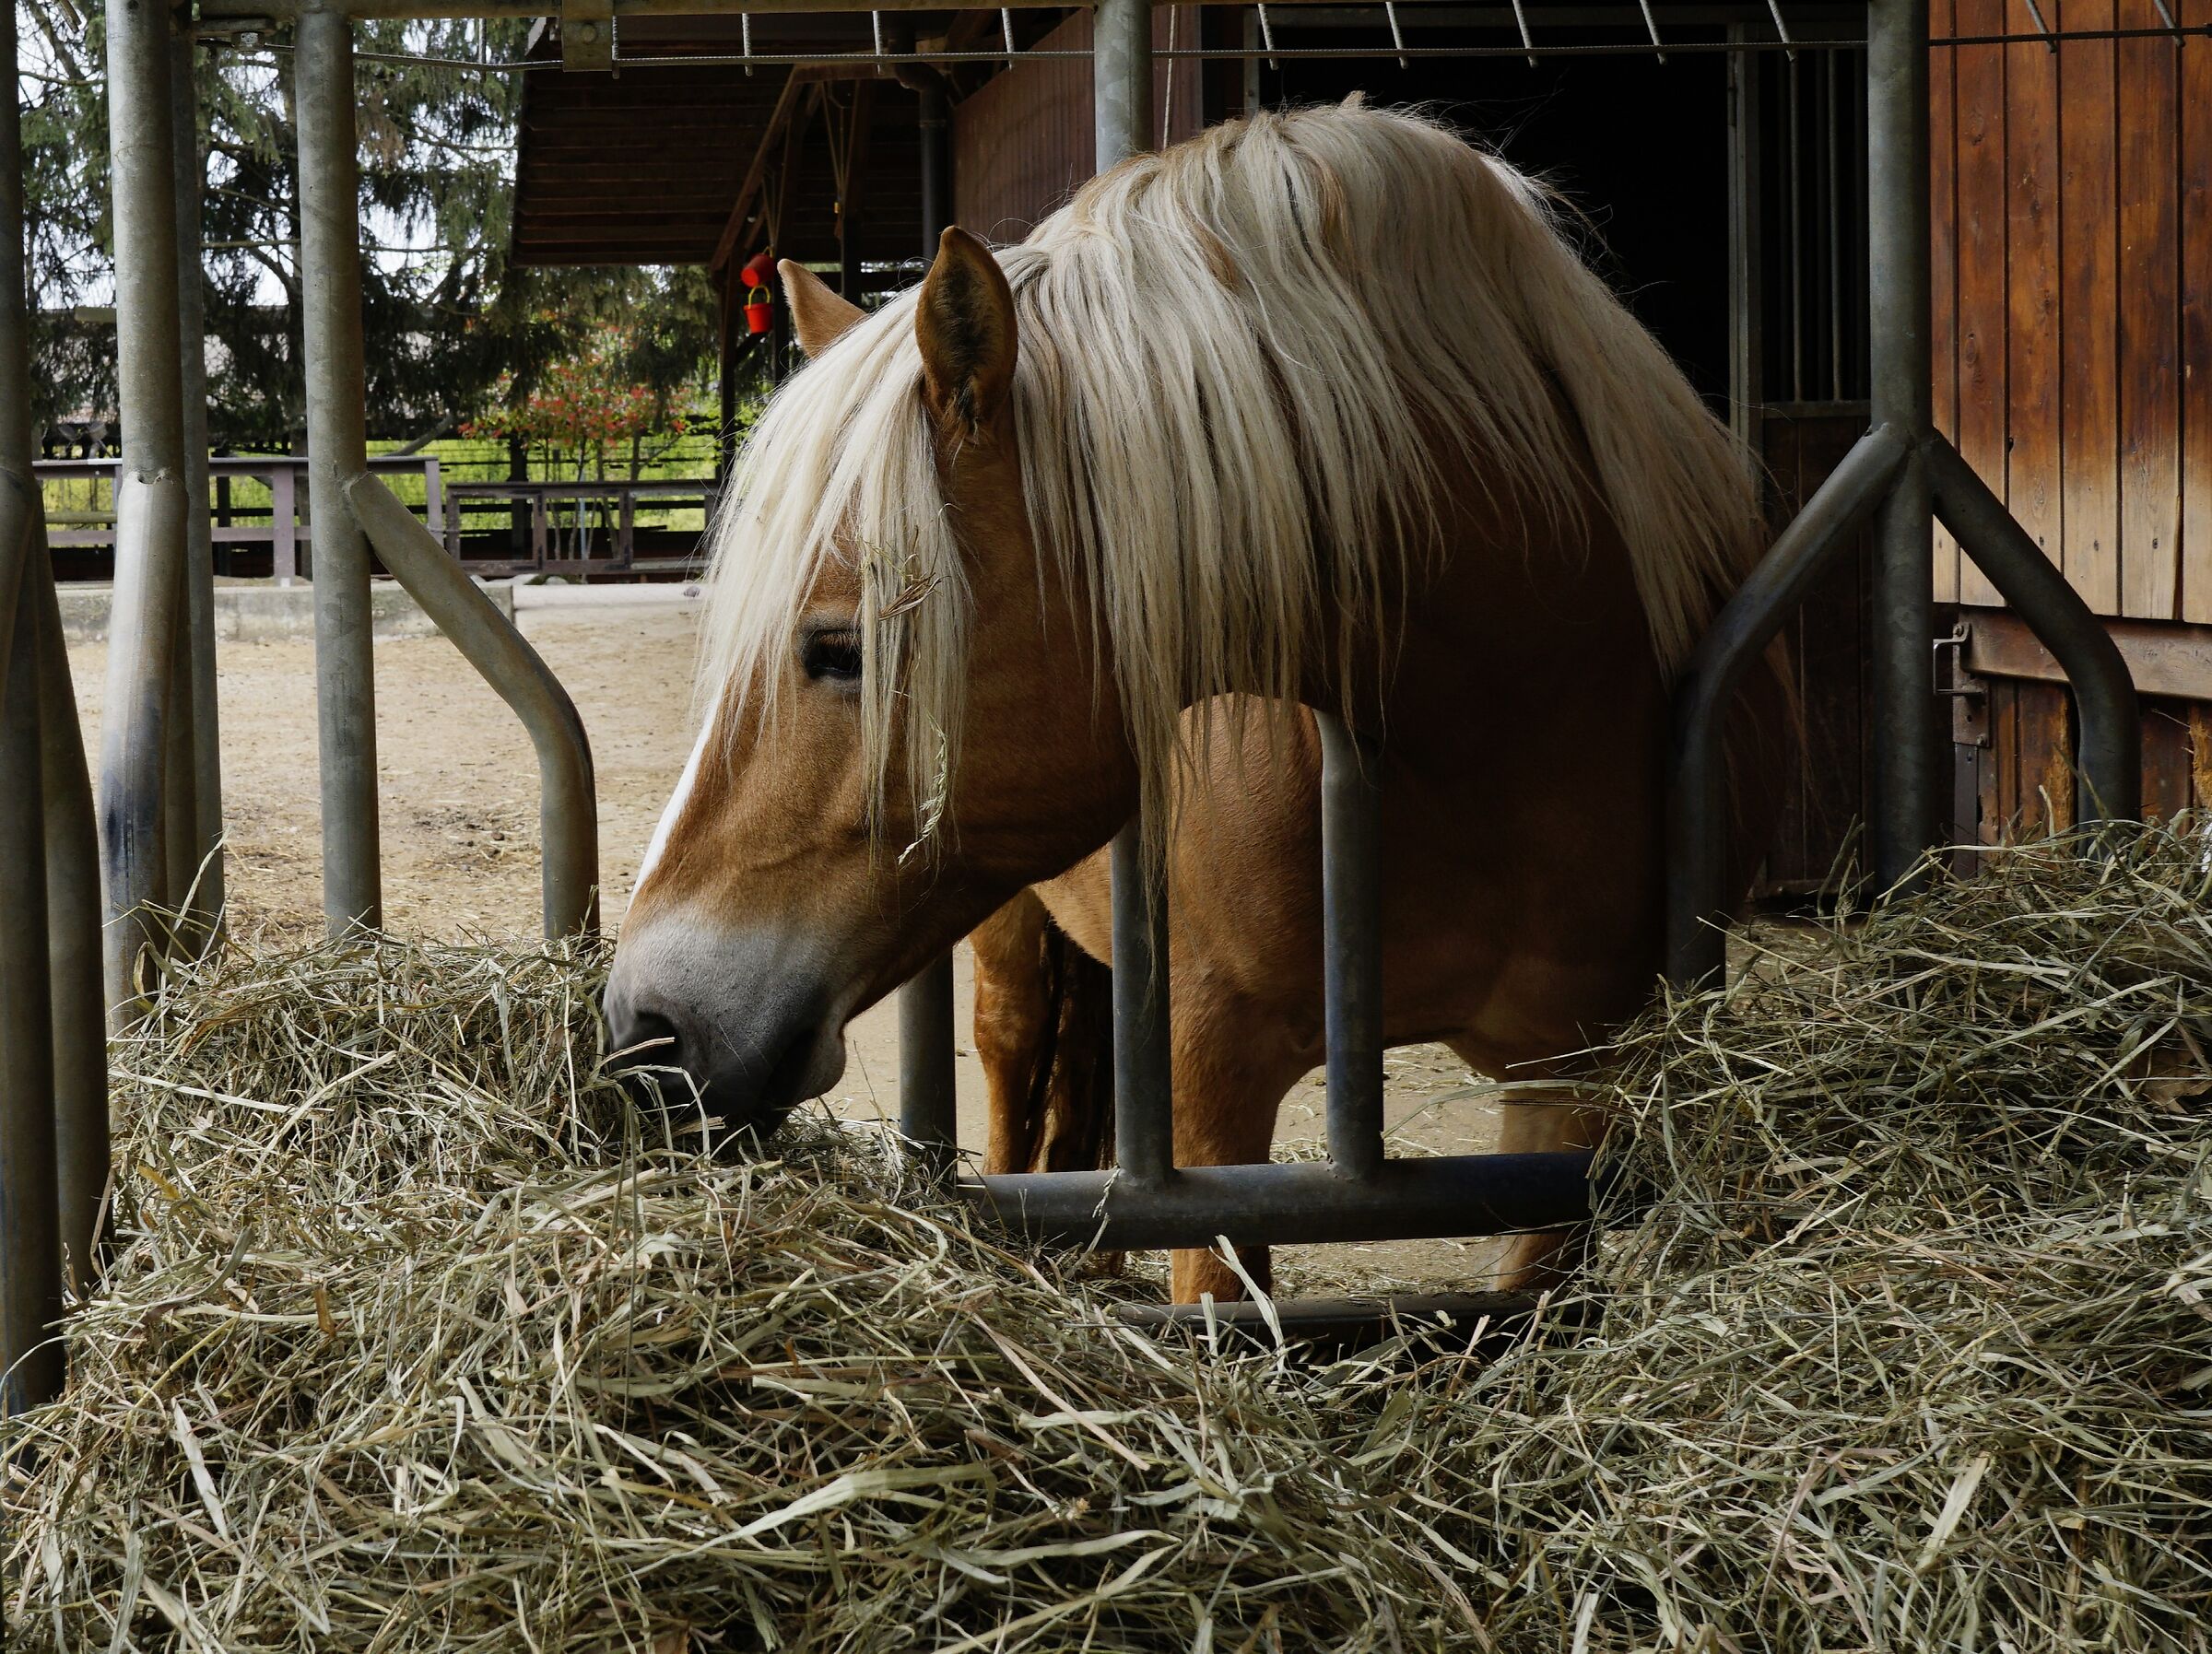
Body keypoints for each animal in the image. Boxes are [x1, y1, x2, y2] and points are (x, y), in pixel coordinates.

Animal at [604, 99, 1782, 1303]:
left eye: (839, 649)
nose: (646, 1026)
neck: (1504, 732)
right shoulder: (1217, 1086)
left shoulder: (1576, 1095)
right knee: (1015, 1060)